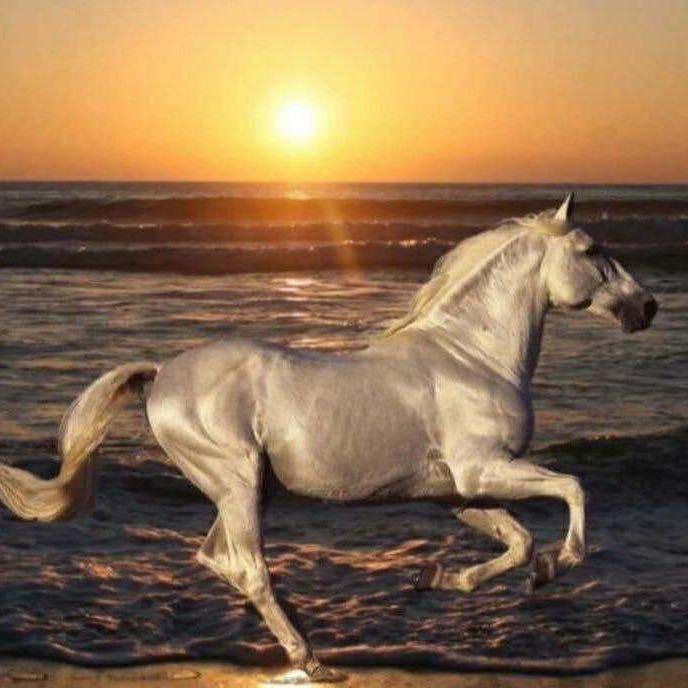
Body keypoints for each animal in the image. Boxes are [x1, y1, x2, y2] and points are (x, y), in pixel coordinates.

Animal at [0, 194, 657, 683]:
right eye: (593, 250)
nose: (647, 307)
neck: (472, 357)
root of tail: (161, 375)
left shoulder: (458, 493)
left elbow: (517, 544)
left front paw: (438, 578)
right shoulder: (482, 471)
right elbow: (573, 489)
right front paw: (558, 565)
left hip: (246, 490)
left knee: (218, 559)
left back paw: (306, 642)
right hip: (237, 482)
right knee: (249, 568)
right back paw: (310, 658)